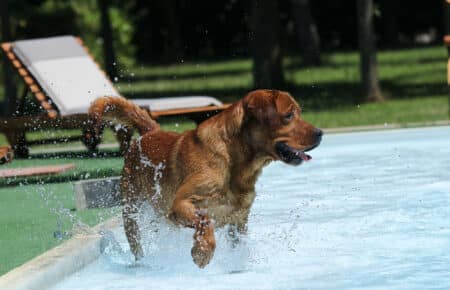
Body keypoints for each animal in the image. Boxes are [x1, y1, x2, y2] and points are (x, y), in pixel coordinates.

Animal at [89, 90, 320, 268]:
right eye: (289, 115)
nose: (320, 133)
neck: (235, 163)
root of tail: (150, 132)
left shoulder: (239, 220)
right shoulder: (181, 204)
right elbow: (205, 220)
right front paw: (202, 253)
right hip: (131, 211)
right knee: (136, 243)